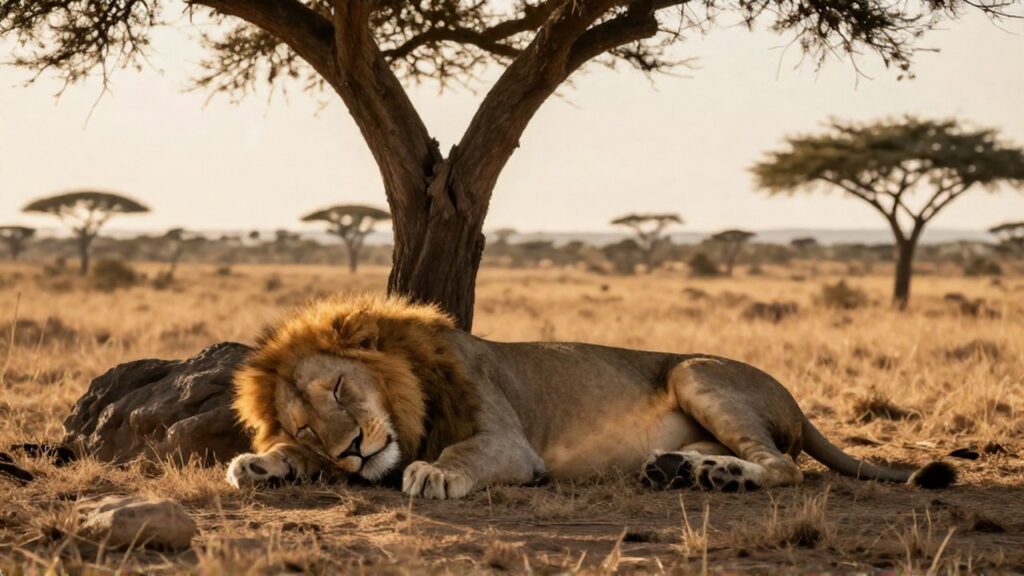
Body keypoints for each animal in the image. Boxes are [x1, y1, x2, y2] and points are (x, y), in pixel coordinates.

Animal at [226, 294, 954, 498]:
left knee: (784, 467)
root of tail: (798, 403)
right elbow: (291, 461)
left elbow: (460, 454)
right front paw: (260, 463)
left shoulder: (508, 442)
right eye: (308, 426)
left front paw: (432, 472)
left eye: (340, 386)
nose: (350, 449)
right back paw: (683, 470)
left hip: (695, 371)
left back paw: (720, 476)